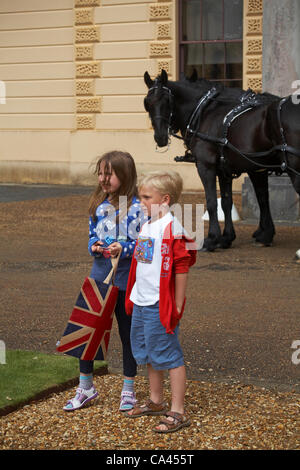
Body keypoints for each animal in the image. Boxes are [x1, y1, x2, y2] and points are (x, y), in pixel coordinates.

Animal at [143, 70, 300, 252]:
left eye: (168, 101)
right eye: (147, 103)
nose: (160, 137)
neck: (205, 112)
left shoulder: (206, 167)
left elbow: (212, 202)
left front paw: (212, 238)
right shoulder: (227, 169)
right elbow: (228, 202)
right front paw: (228, 237)